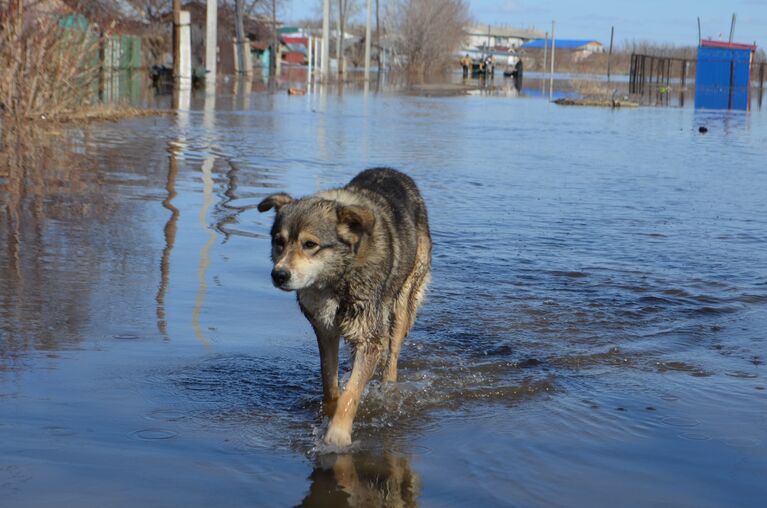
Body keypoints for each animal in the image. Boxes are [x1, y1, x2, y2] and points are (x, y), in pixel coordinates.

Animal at [260, 169, 432, 446]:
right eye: (279, 242)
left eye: (310, 244)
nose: (279, 275)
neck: (337, 280)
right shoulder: (325, 332)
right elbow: (330, 385)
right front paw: (327, 415)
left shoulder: (369, 339)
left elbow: (351, 393)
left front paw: (337, 435)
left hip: (402, 300)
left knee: (392, 356)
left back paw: (388, 389)